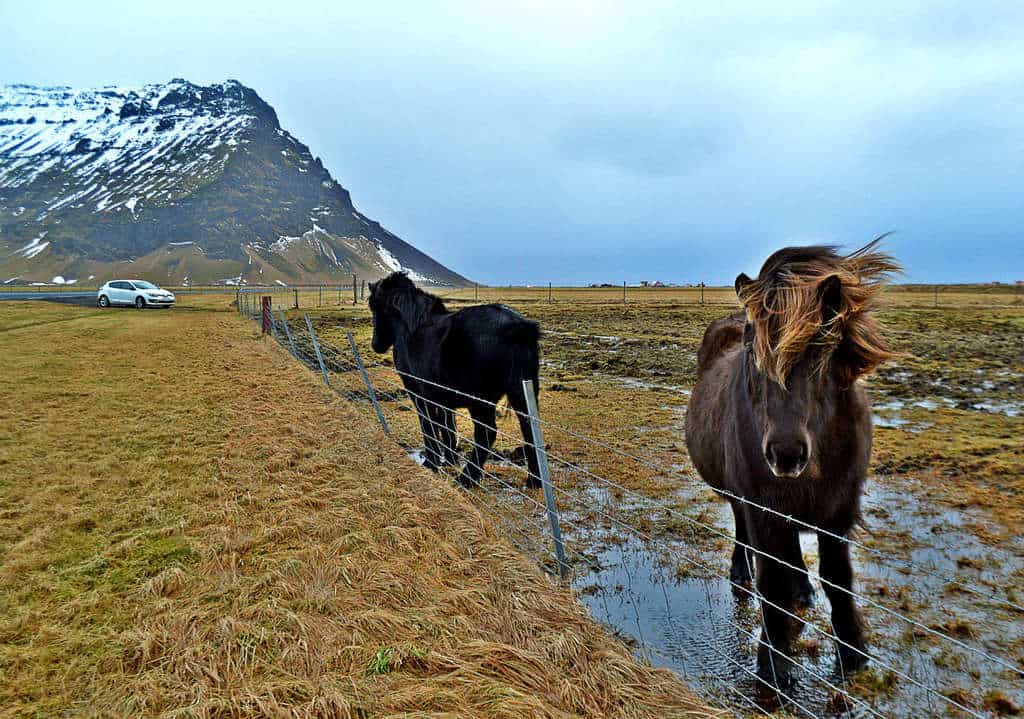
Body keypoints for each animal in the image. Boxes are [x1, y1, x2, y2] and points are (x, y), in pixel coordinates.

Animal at [368, 274, 544, 489]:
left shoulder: (418, 394)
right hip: (522, 394)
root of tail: (518, 328)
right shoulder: (443, 398)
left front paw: (432, 462)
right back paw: (534, 480)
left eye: (375, 306)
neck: (410, 329)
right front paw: (450, 458)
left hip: (480, 402)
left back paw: (467, 478)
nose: (376, 344)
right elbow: (447, 426)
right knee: (530, 431)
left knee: (486, 433)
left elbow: (428, 425)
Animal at [688, 240, 897, 692]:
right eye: (752, 347)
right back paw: (741, 572)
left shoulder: (838, 512)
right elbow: (772, 583)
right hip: (743, 498)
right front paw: (773, 663)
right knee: (743, 532)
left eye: (822, 344)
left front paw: (853, 653)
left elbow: (838, 580)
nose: (786, 454)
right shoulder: (763, 508)